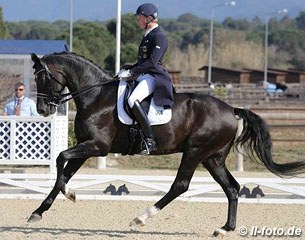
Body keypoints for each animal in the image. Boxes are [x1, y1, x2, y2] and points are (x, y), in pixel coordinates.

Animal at [28, 51, 304, 237]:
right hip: (212, 158)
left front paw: (70, 195)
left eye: (44, 79)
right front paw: (39, 211)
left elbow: (61, 159)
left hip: (194, 152)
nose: (42, 110)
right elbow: (64, 173)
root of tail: (231, 109)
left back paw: (140, 218)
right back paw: (224, 229)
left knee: (180, 185)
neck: (96, 96)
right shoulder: (86, 146)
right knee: (232, 188)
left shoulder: (98, 146)